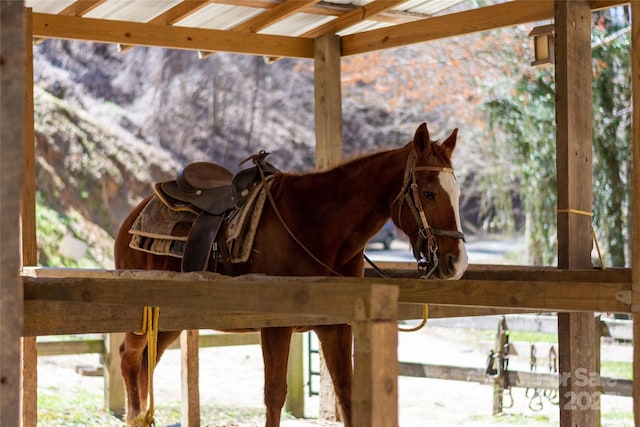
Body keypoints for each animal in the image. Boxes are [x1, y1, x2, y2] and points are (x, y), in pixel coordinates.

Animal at [114, 122, 464, 426]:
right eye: (429, 193)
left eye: (458, 193)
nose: (456, 262)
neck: (315, 225)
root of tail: (135, 212)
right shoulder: (276, 325)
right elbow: (274, 395)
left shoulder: (336, 325)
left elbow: (346, 392)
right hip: (141, 313)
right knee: (130, 357)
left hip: (169, 320)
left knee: (148, 361)